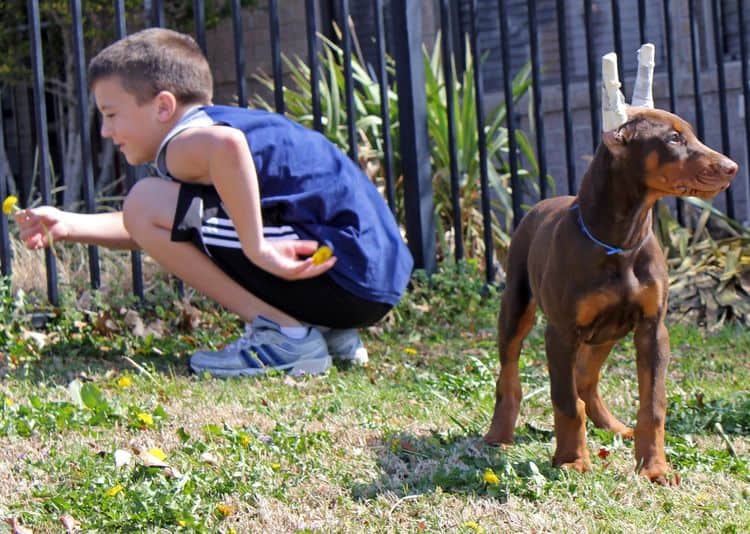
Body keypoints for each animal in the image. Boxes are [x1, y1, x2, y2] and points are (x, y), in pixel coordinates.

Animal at [488, 105, 740, 486]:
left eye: (692, 134)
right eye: (673, 138)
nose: (731, 167)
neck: (621, 240)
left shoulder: (652, 330)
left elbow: (652, 405)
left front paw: (655, 467)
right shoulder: (560, 333)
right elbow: (565, 401)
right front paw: (571, 460)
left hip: (607, 333)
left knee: (585, 379)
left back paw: (612, 426)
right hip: (517, 307)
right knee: (510, 374)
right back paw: (499, 435)